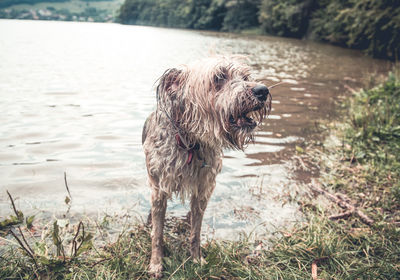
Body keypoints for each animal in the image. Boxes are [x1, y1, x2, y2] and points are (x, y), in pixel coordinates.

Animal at [141, 55, 272, 276]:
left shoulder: (203, 188)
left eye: (245, 77)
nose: (262, 90)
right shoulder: (159, 187)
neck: (189, 142)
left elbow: (196, 232)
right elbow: (157, 234)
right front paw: (156, 263)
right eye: (219, 77)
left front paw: (196, 259)